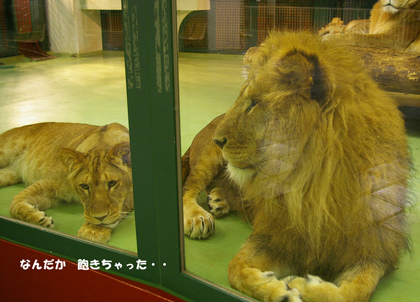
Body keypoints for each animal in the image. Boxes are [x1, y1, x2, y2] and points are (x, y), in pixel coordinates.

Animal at [0, 122, 133, 243]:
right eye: (84, 186)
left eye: (112, 183)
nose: (100, 218)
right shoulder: (48, 184)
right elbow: (14, 204)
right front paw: (41, 219)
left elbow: (123, 205)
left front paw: (93, 230)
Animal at [181, 31, 410, 302]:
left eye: (254, 103)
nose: (219, 139)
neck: (316, 187)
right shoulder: (277, 237)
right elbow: (235, 269)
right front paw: (282, 292)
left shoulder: (374, 248)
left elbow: (356, 291)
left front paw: (305, 286)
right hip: (208, 158)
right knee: (188, 187)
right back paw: (198, 217)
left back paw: (220, 200)